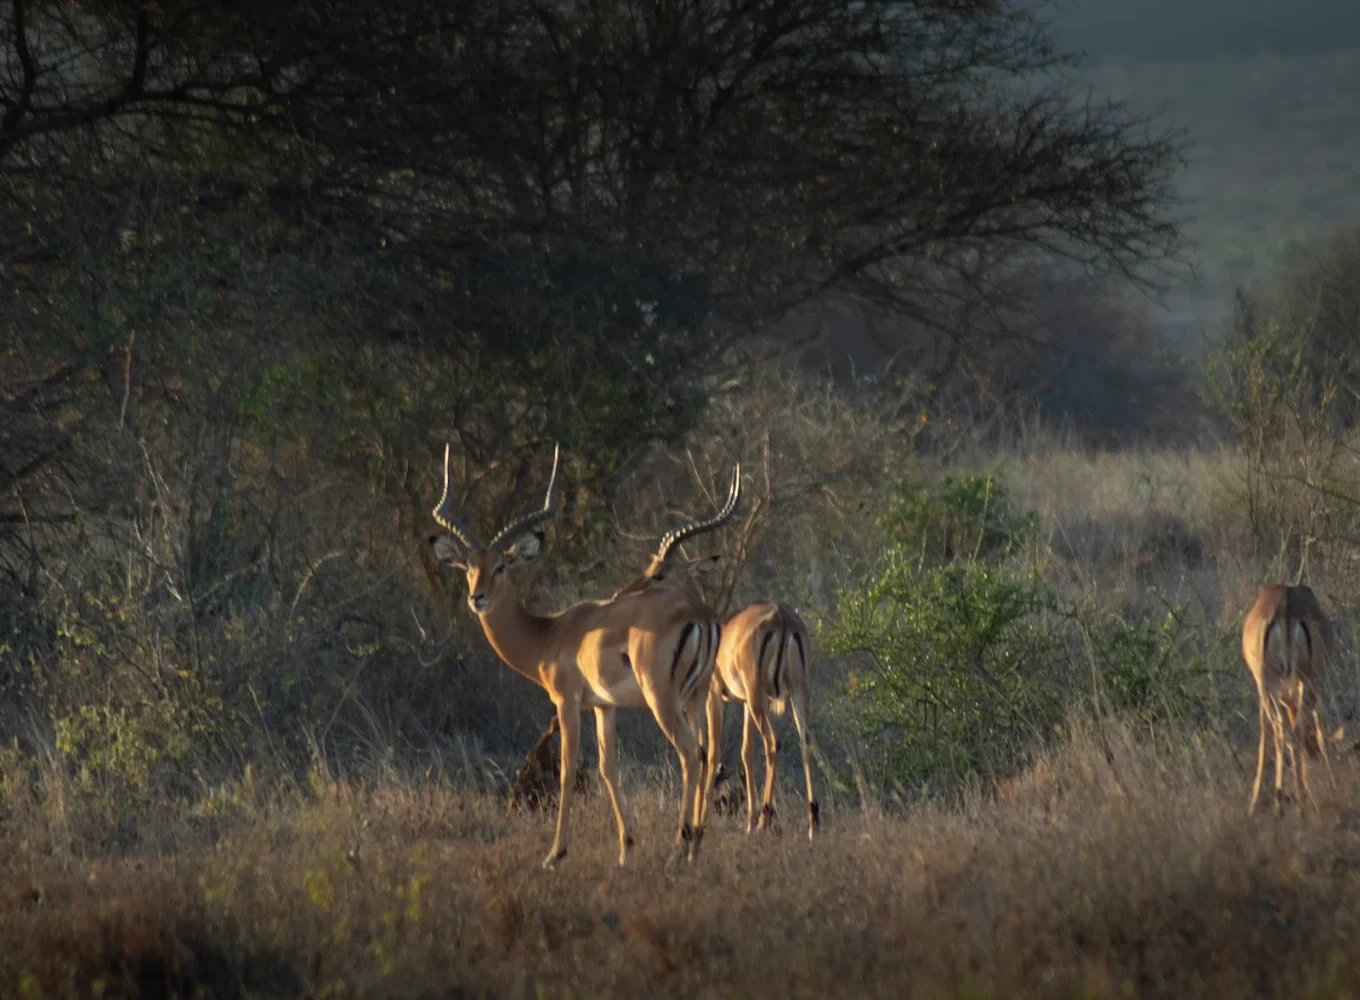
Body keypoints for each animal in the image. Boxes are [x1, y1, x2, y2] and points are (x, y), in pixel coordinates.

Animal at [428, 443, 723, 868]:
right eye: (469, 566)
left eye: (501, 566)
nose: (476, 598)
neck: (551, 635)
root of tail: (700, 614)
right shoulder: (604, 706)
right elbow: (608, 768)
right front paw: (625, 848)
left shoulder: (567, 702)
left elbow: (567, 768)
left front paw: (555, 853)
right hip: (697, 696)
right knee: (707, 753)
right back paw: (694, 846)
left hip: (663, 700)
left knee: (689, 753)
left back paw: (676, 849)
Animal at [613, 484, 820, 840]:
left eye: (659, 573)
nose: (620, 595)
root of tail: (782, 618)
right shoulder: (744, 703)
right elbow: (745, 753)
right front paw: (746, 821)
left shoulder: (714, 697)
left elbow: (710, 753)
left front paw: (705, 821)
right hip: (794, 693)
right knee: (805, 743)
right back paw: (811, 825)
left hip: (759, 697)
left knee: (774, 743)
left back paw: (766, 820)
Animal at [1242, 583, 1337, 816]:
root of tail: (1285, 604)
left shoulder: (1266, 689)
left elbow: (1266, 735)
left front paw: (1255, 801)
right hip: (1305, 681)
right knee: (1294, 732)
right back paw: (1298, 799)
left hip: (1282, 684)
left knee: (1286, 733)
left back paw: (1291, 800)